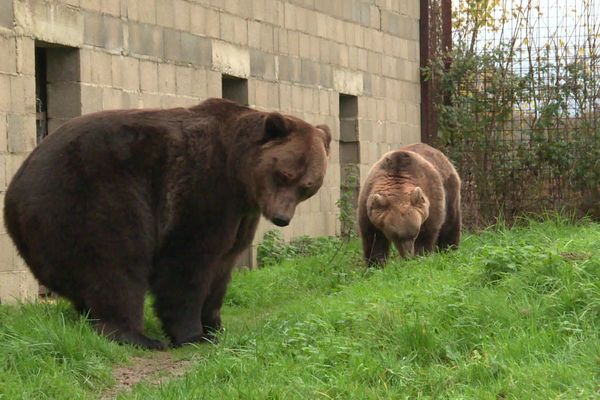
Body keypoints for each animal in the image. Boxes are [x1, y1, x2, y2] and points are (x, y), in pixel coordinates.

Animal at [4, 98, 330, 348]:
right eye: (284, 174)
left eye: (307, 185)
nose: (281, 218)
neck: (238, 176)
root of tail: (15, 189)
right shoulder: (202, 188)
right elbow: (187, 262)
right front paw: (192, 334)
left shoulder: (240, 215)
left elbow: (223, 264)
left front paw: (215, 326)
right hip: (92, 196)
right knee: (116, 263)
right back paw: (137, 337)